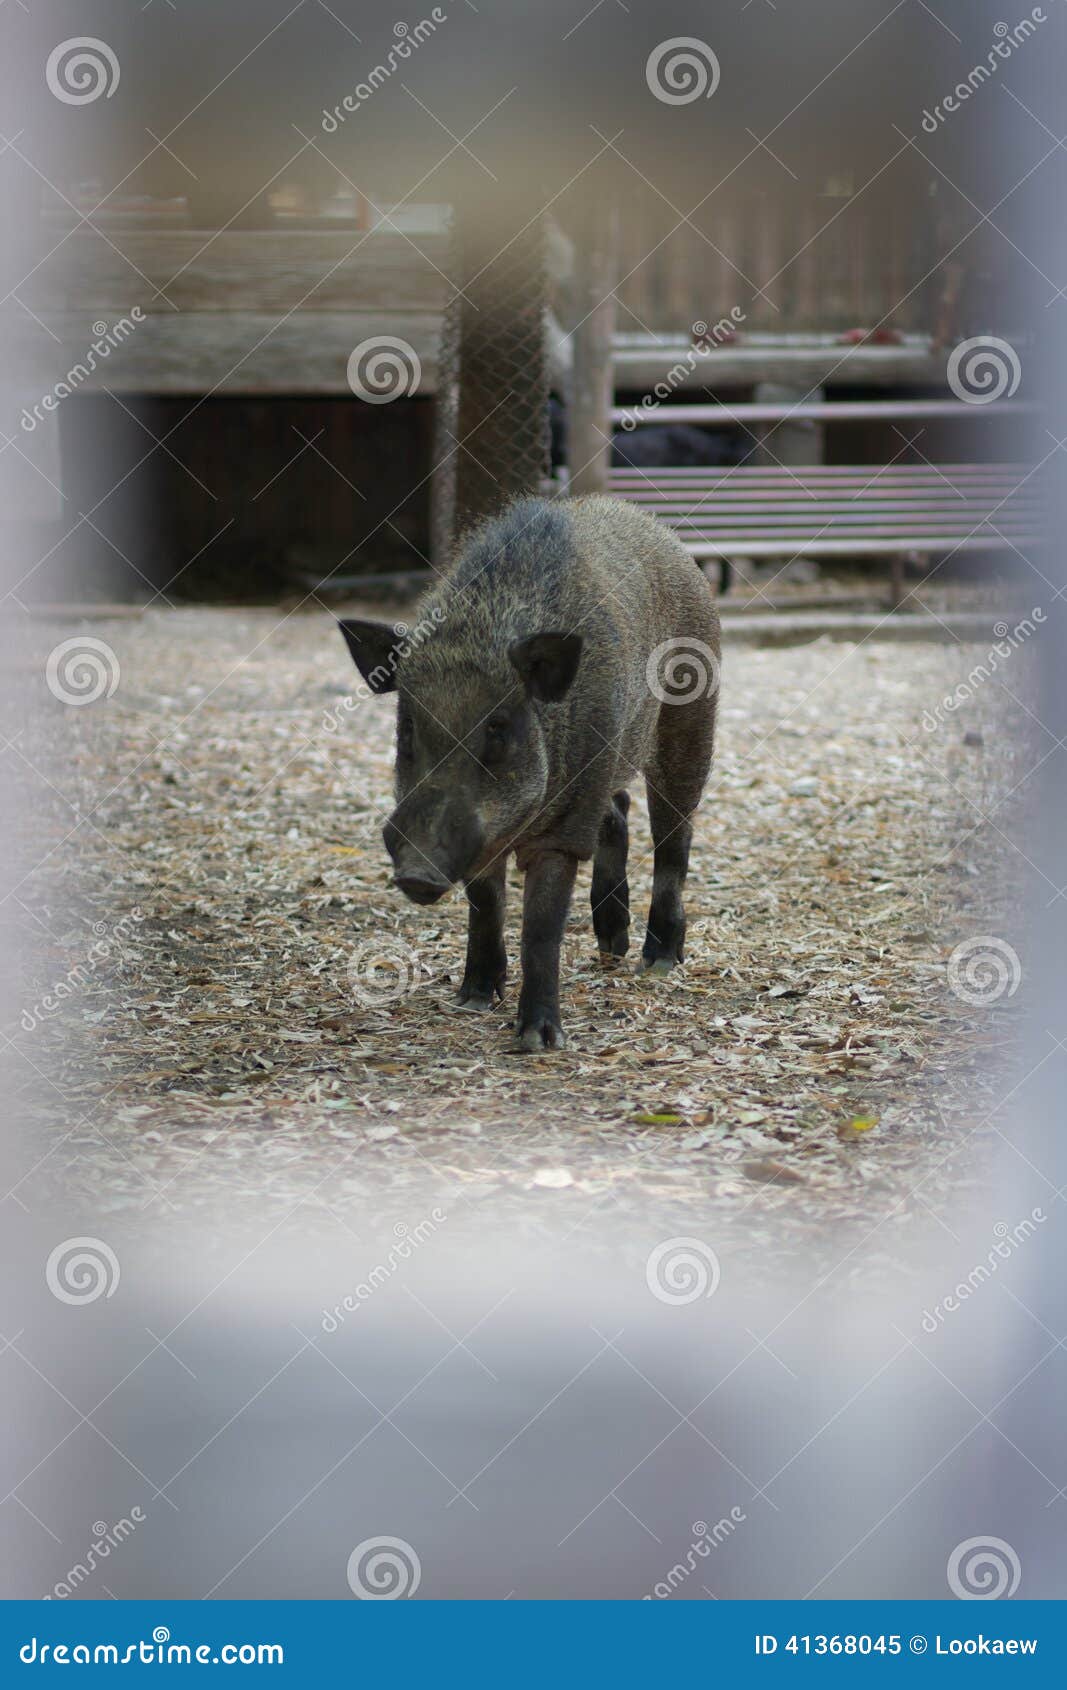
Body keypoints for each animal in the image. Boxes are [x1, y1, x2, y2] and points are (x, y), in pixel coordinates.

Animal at [338, 495, 719, 1052]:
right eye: (407, 727)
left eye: (498, 728)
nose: (415, 872)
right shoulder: (489, 835)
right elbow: (485, 905)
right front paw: (473, 1000)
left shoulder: (561, 831)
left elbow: (541, 926)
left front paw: (540, 1040)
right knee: (618, 811)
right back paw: (612, 947)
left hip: (690, 726)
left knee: (674, 837)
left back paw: (657, 963)